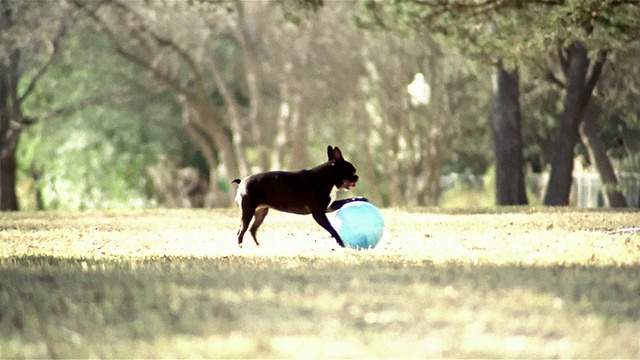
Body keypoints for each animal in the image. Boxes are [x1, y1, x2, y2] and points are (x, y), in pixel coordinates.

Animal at [231, 146, 360, 248]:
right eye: (352, 171)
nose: (357, 177)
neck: (327, 177)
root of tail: (242, 181)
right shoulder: (319, 214)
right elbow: (332, 229)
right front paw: (341, 243)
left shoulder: (328, 207)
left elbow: (345, 201)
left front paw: (360, 198)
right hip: (247, 213)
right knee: (241, 232)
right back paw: (241, 248)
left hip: (261, 213)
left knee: (252, 229)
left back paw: (258, 247)